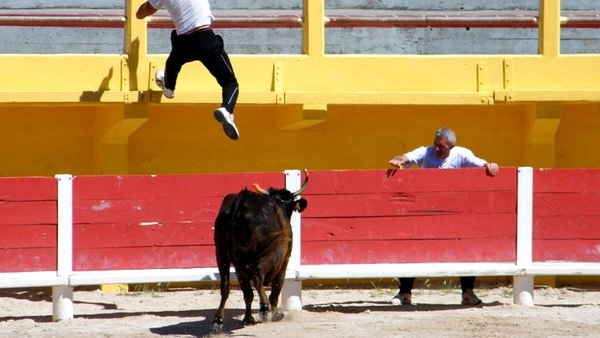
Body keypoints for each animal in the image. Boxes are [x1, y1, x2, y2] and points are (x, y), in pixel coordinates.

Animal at [212, 170, 310, 334]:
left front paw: (248, 319)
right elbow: (277, 286)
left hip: (222, 252)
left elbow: (246, 292)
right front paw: (275, 314)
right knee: (258, 277)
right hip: (270, 252)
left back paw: (218, 320)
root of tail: (241, 202)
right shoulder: (284, 259)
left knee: (226, 285)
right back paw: (264, 308)